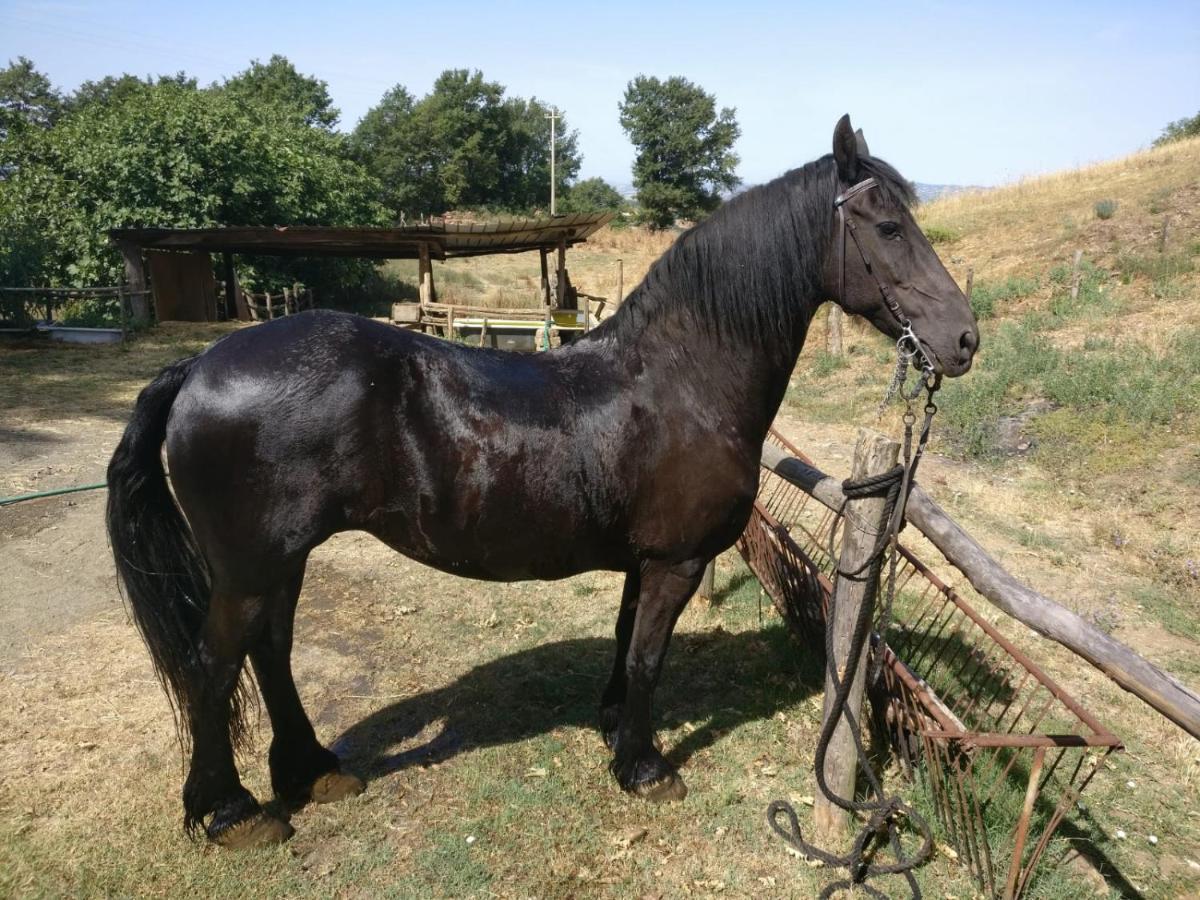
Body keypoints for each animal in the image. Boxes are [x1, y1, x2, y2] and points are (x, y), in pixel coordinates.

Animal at [108, 116, 974, 849]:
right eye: (889, 227)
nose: (963, 338)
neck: (680, 377)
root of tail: (197, 367)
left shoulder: (642, 561)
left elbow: (626, 646)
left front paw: (615, 732)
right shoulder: (677, 562)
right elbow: (650, 659)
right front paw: (645, 768)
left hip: (279, 562)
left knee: (272, 652)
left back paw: (311, 772)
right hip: (250, 567)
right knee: (212, 668)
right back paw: (231, 812)